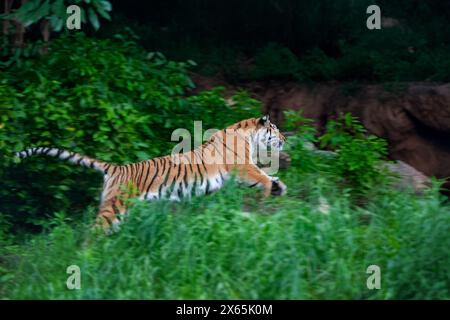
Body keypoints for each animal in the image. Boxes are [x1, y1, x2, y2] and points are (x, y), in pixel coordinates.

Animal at [17, 115, 286, 232]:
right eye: (275, 128)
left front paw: (279, 186)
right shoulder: (242, 168)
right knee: (93, 234)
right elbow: (261, 177)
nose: (284, 138)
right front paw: (267, 195)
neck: (249, 134)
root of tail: (117, 168)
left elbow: (268, 177)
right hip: (114, 208)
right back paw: (88, 258)